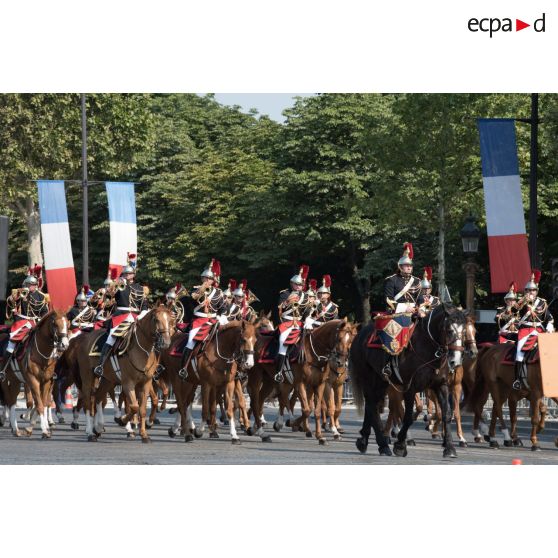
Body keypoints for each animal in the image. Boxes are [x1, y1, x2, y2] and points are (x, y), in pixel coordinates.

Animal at [0, 310, 70, 438]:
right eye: (55, 324)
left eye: (67, 324)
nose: (64, 345)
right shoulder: (32, 380)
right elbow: (39, 404)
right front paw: (43, 430)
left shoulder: (46, 381)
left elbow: (43, 403)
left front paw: (31, 427)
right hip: (4, 380)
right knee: (8, 399)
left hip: (15, 380)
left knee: (11, 401)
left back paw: (15, 429)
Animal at [352, 306, 466, 460]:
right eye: (449, 330)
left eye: (464, 331)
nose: (455, 361)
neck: (428, 348)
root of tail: (359, 335)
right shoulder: (409, 388)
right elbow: (407, 417)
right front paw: (400, 445)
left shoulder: (441, 386)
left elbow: (447, 414)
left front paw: (449, 448)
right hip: (369, 380)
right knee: (372, 407)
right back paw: (383, 445)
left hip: (382, 383)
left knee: (371, 406)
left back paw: (365, 441)